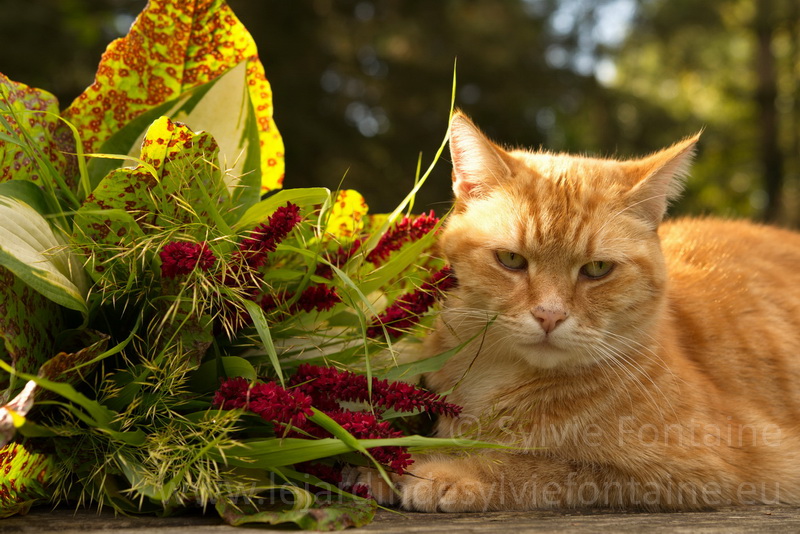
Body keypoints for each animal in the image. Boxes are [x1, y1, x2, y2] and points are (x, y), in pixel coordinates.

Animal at [354, 112, 800, 510]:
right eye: (511, 260)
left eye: (597, 268)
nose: (549, 315)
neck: (495, 377)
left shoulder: (703, 471)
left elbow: (536, 466)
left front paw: (444, 471)